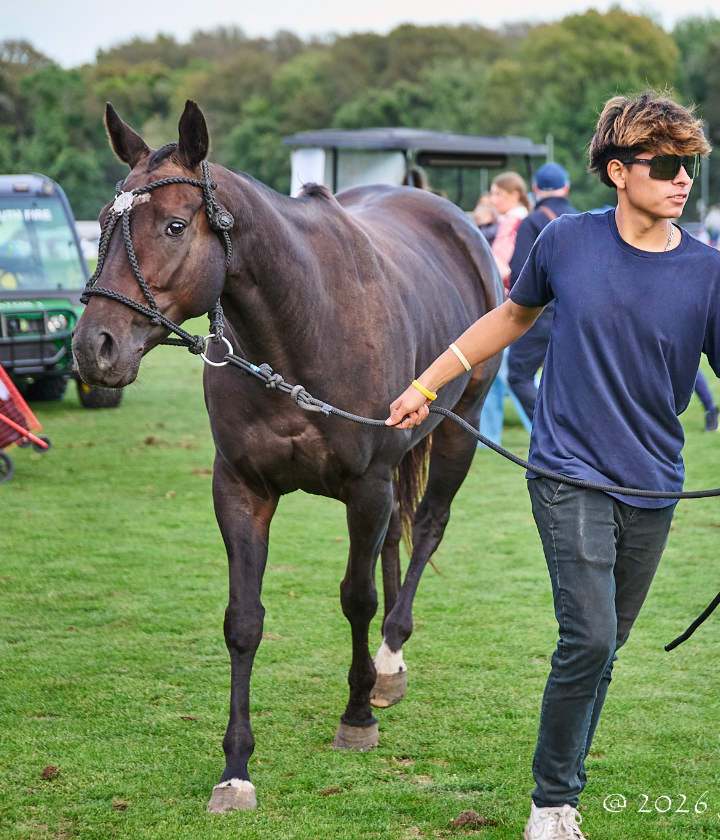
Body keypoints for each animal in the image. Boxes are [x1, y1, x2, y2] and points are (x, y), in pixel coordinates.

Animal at [72, 100, 503, 813]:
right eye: (104, 224)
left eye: (173, 225)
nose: (92, 347)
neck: (301, 325)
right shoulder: (241, 488)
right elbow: (243, 621)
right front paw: (235, 768)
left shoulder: (367, 485)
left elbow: (356, 598)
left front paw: (357, 718)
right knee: (397, 536)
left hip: (456, 429)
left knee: (426, 529)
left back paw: (388, 659)